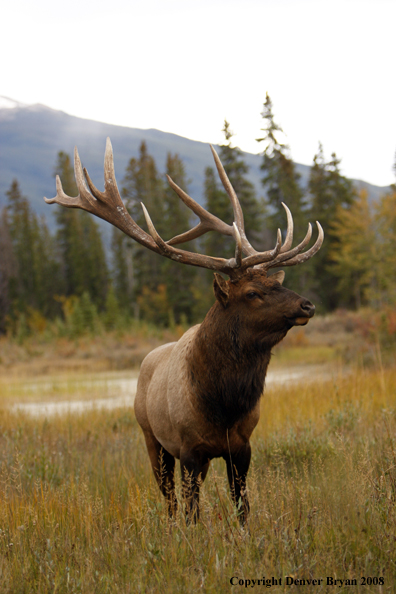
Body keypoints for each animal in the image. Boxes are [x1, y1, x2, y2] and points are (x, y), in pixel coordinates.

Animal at [44, 139, 324, 524]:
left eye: (277, 282)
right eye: (252, 293)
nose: (307, 305)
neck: (223, 404)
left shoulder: (242, 447)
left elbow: (243, 507)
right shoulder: (189, 448)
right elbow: (193, 512)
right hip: (152, 438)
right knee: (170, 498)